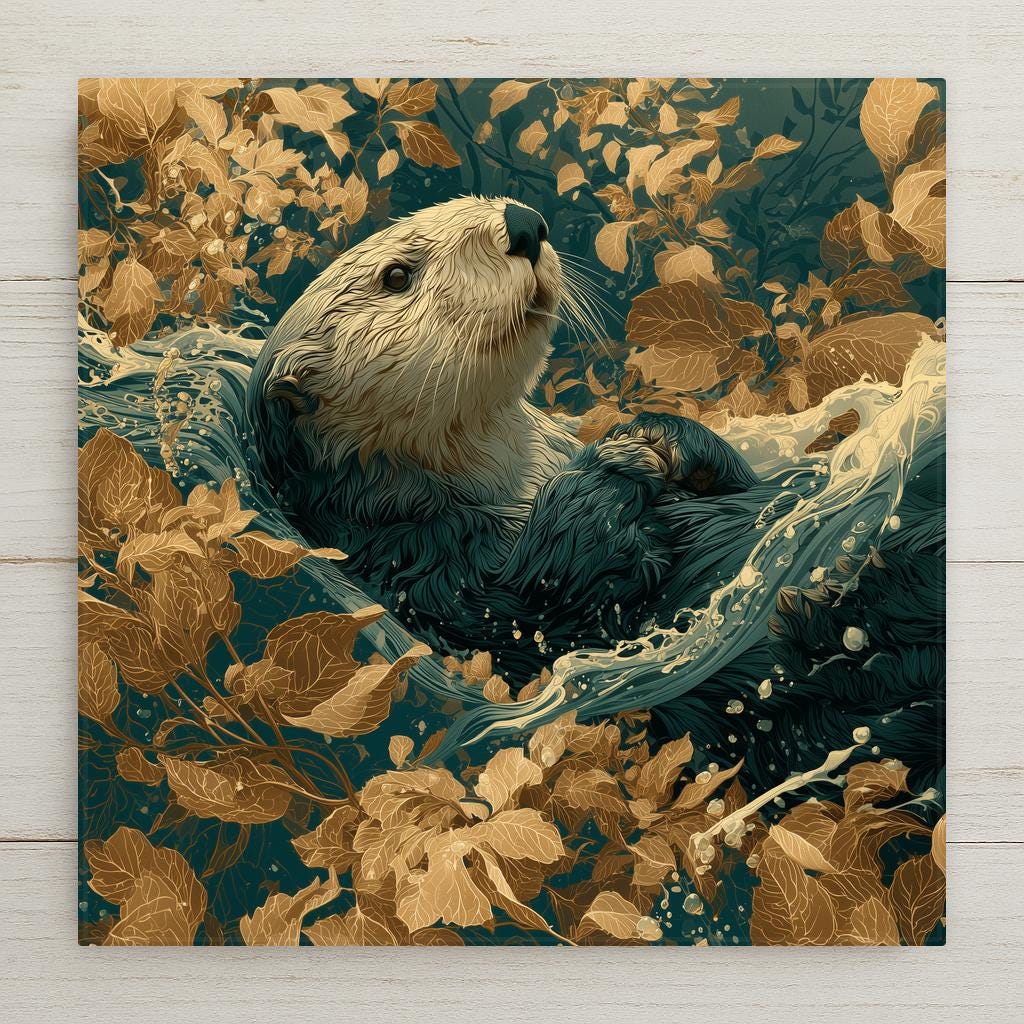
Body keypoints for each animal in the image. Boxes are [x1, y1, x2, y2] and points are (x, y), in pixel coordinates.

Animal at [246, 196, 768, 679]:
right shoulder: (418, 567)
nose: (523, 223)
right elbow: (532, 613)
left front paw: (667, 436)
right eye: (396, 276)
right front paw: (610, 475)